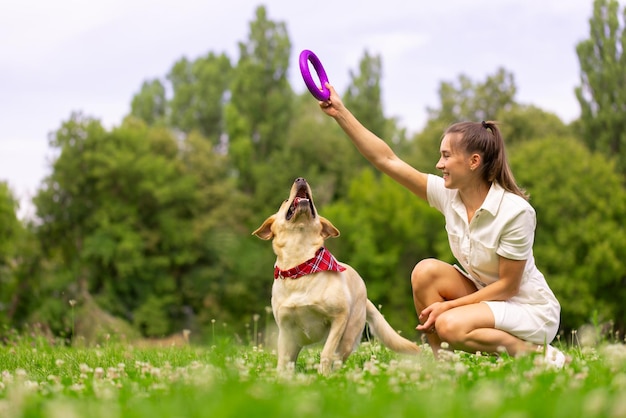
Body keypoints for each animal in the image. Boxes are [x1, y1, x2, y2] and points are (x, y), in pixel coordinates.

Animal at [254, 178, 420, 374]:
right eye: (285, 201)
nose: (301, 179)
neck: (302, 266)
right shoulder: (286, 329)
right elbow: (283, 361)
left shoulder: (339, 318)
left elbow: (326, 353)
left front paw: (323, 376)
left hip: (348, 336)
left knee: (338, 358)